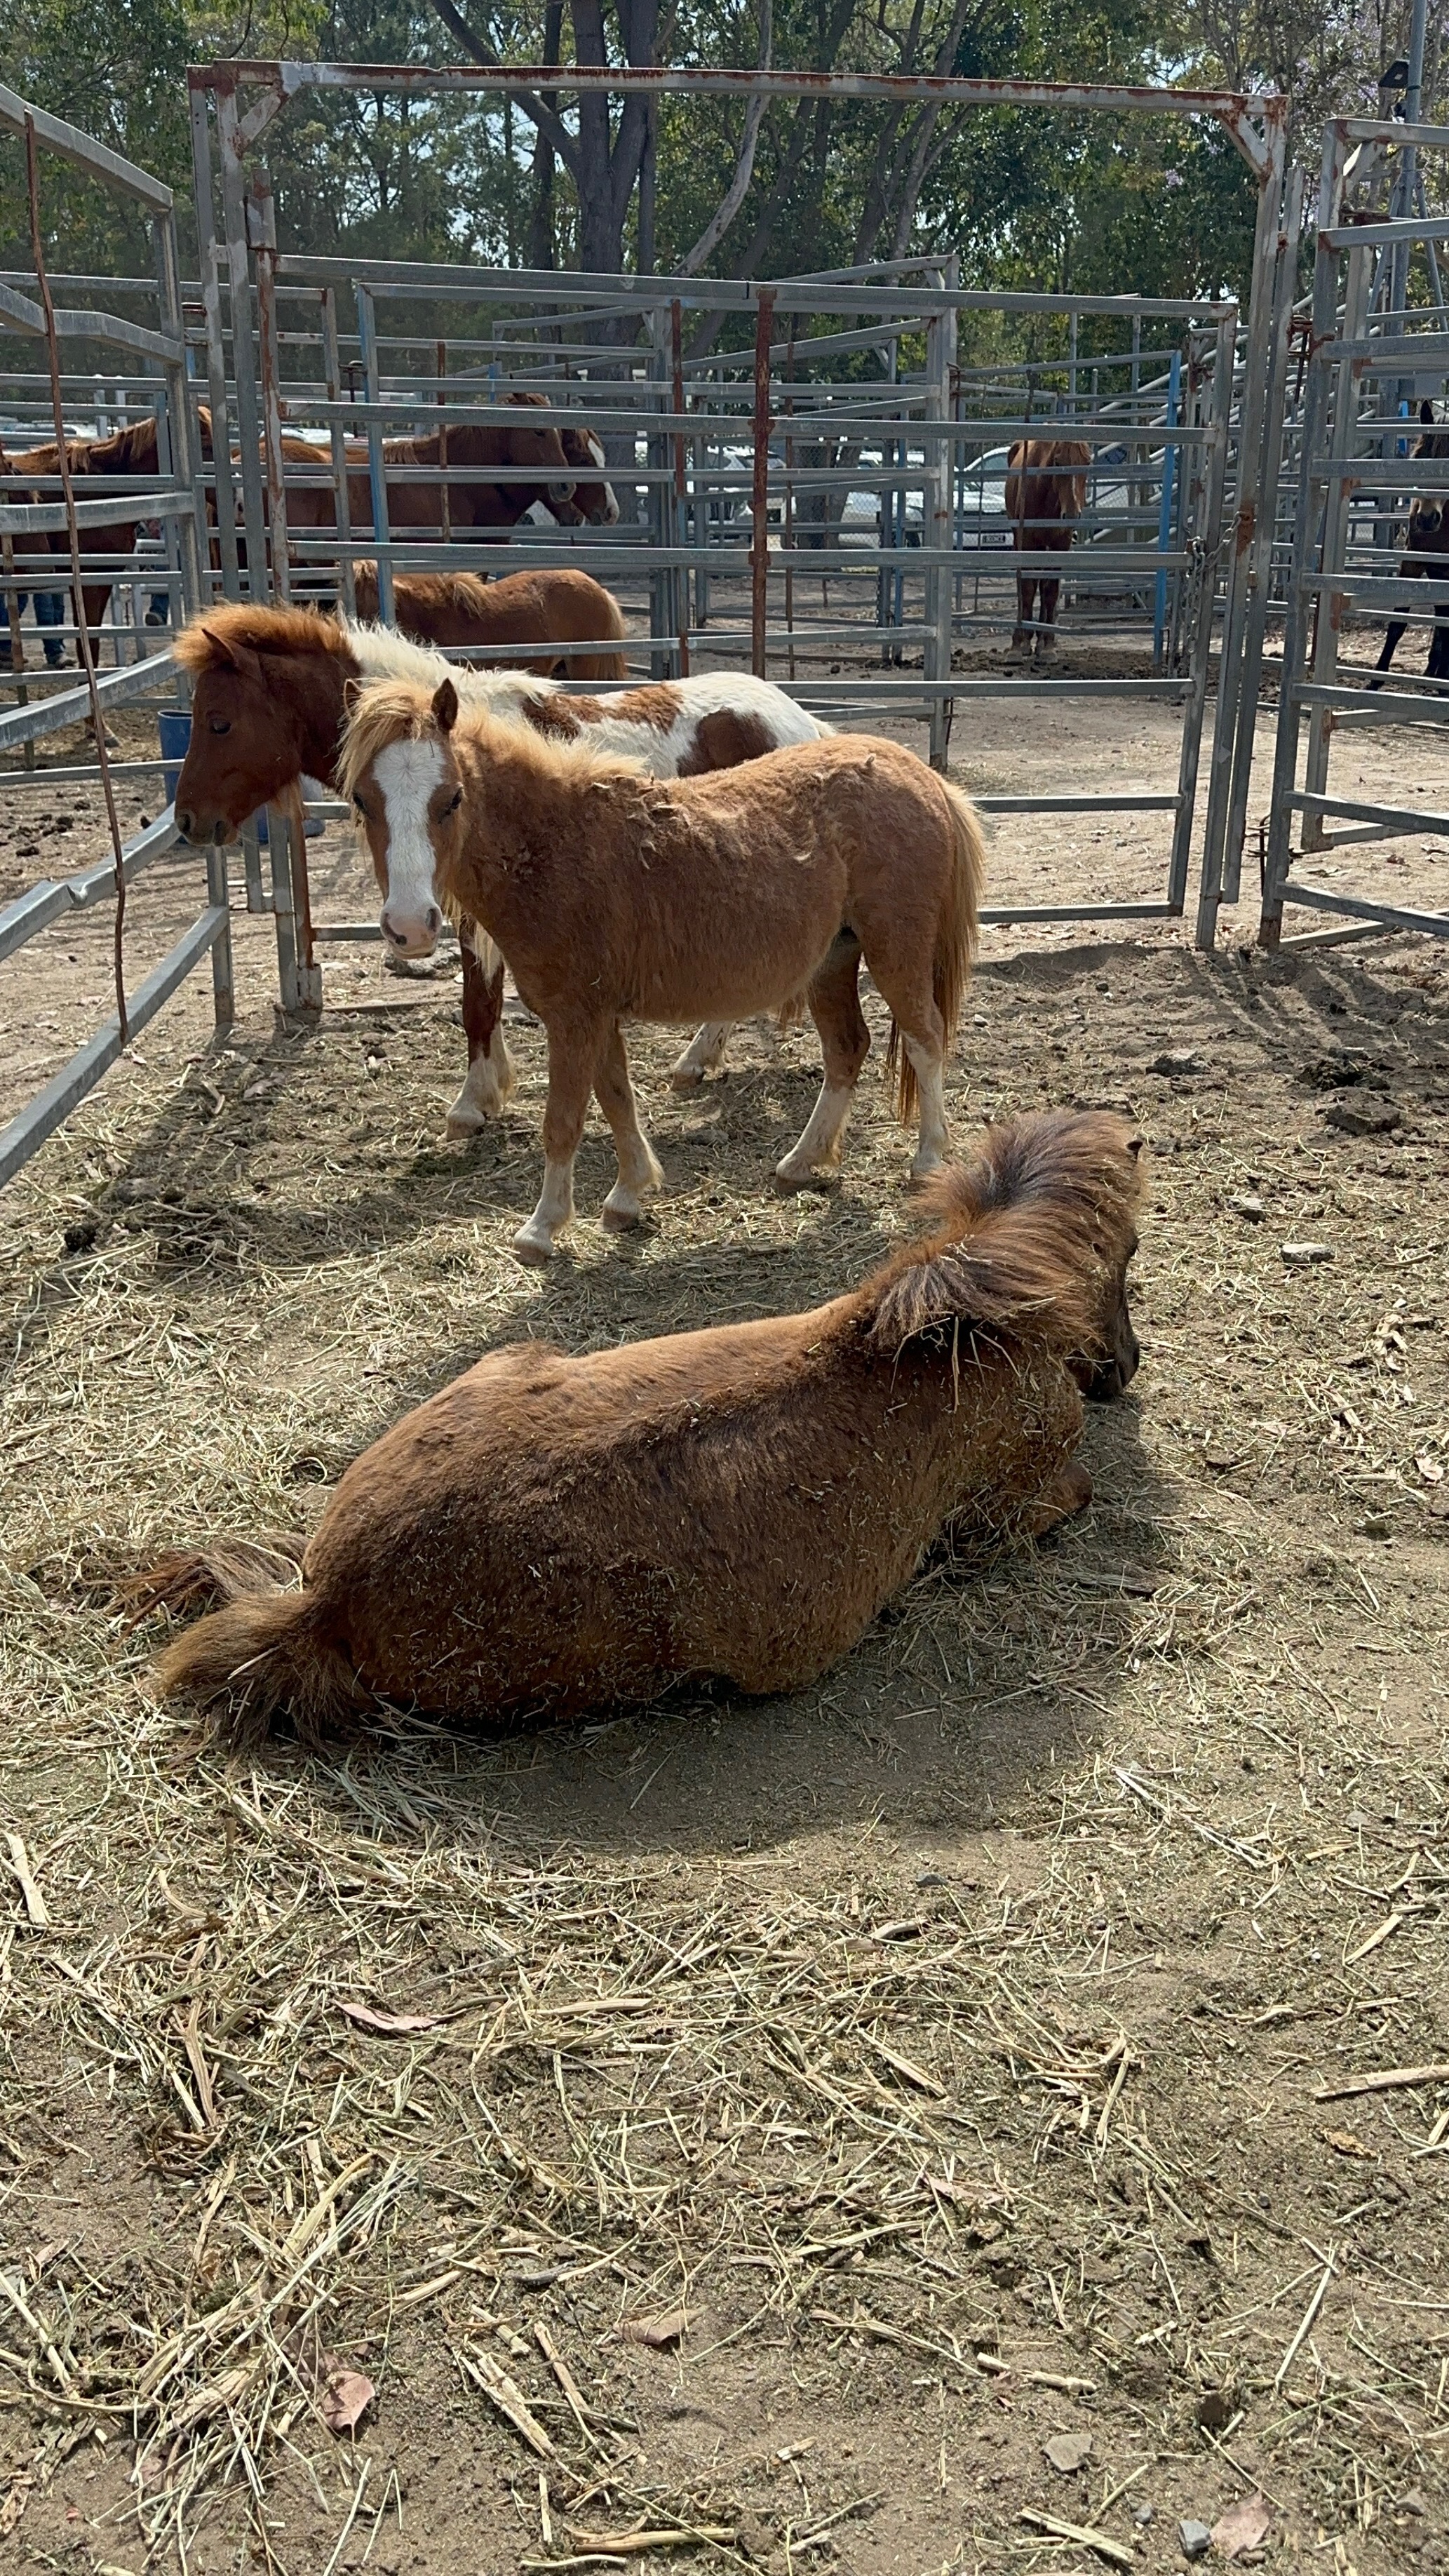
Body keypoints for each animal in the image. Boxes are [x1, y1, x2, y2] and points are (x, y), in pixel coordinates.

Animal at [142, 1110, 1144, 1741]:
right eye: (1129, 1251)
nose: (1122, 1371)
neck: (949, 1333)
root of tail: (328, 1601)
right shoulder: (1014, 1503)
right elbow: (1075, 1494)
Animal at [171, 604, 830, 1131]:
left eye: (219, 721)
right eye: (361, 798)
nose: (187, 821)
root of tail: (801, 720)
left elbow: (478, 1001)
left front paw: (473, 1103)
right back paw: (698, 1059)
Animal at [341, 676, 985, 1264]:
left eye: (451, 798)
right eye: (362, 801)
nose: (411, 927)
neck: (553, 846)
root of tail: (922, 776)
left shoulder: (574, 1018)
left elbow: (564, 1120)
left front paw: (542, 1228)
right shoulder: (596, 1014)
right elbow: (616, 1099)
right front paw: (627, 1197)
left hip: (895, 949)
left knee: (925, 1040)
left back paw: (928, 1160)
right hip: (833, 960)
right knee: (848, 1049)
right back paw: (800, 1163)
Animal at [1003, 439, 1091, 663]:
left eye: (1087, 462)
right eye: (1058, 462)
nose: (1071, 515)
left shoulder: (1060, 544)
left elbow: (1050, 591)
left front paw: (1048, 646)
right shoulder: (1026, 542)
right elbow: (1026, 588)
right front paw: (1018, 645)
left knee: (1044, 587)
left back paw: (1042, 639)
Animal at [1368, 404, 1449, 690]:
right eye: (1419, 458)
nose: (1427, 519)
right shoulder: (1414, 563)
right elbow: (1398, 623)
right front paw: (1375, 681)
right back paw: (1435, 671)